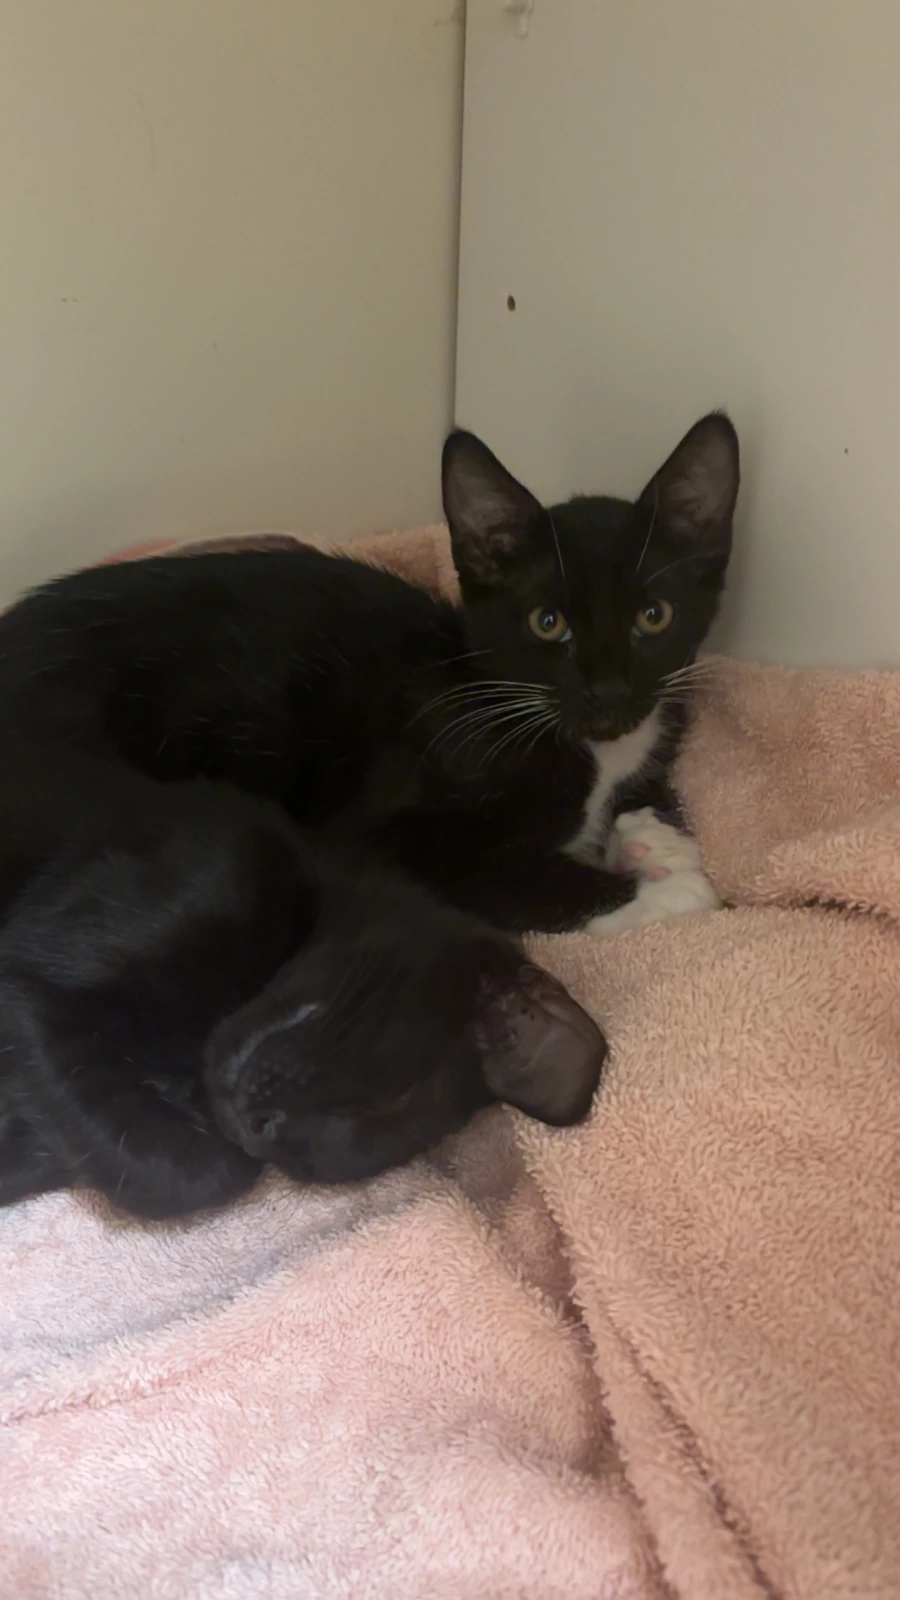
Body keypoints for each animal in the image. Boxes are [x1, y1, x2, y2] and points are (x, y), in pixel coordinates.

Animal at [0, 411, 737, 1218]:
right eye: (548, 624)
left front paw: (656, 839)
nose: (609, 694)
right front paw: (670, 887)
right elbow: (522, 880)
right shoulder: (384, 831)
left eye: (654, 617)